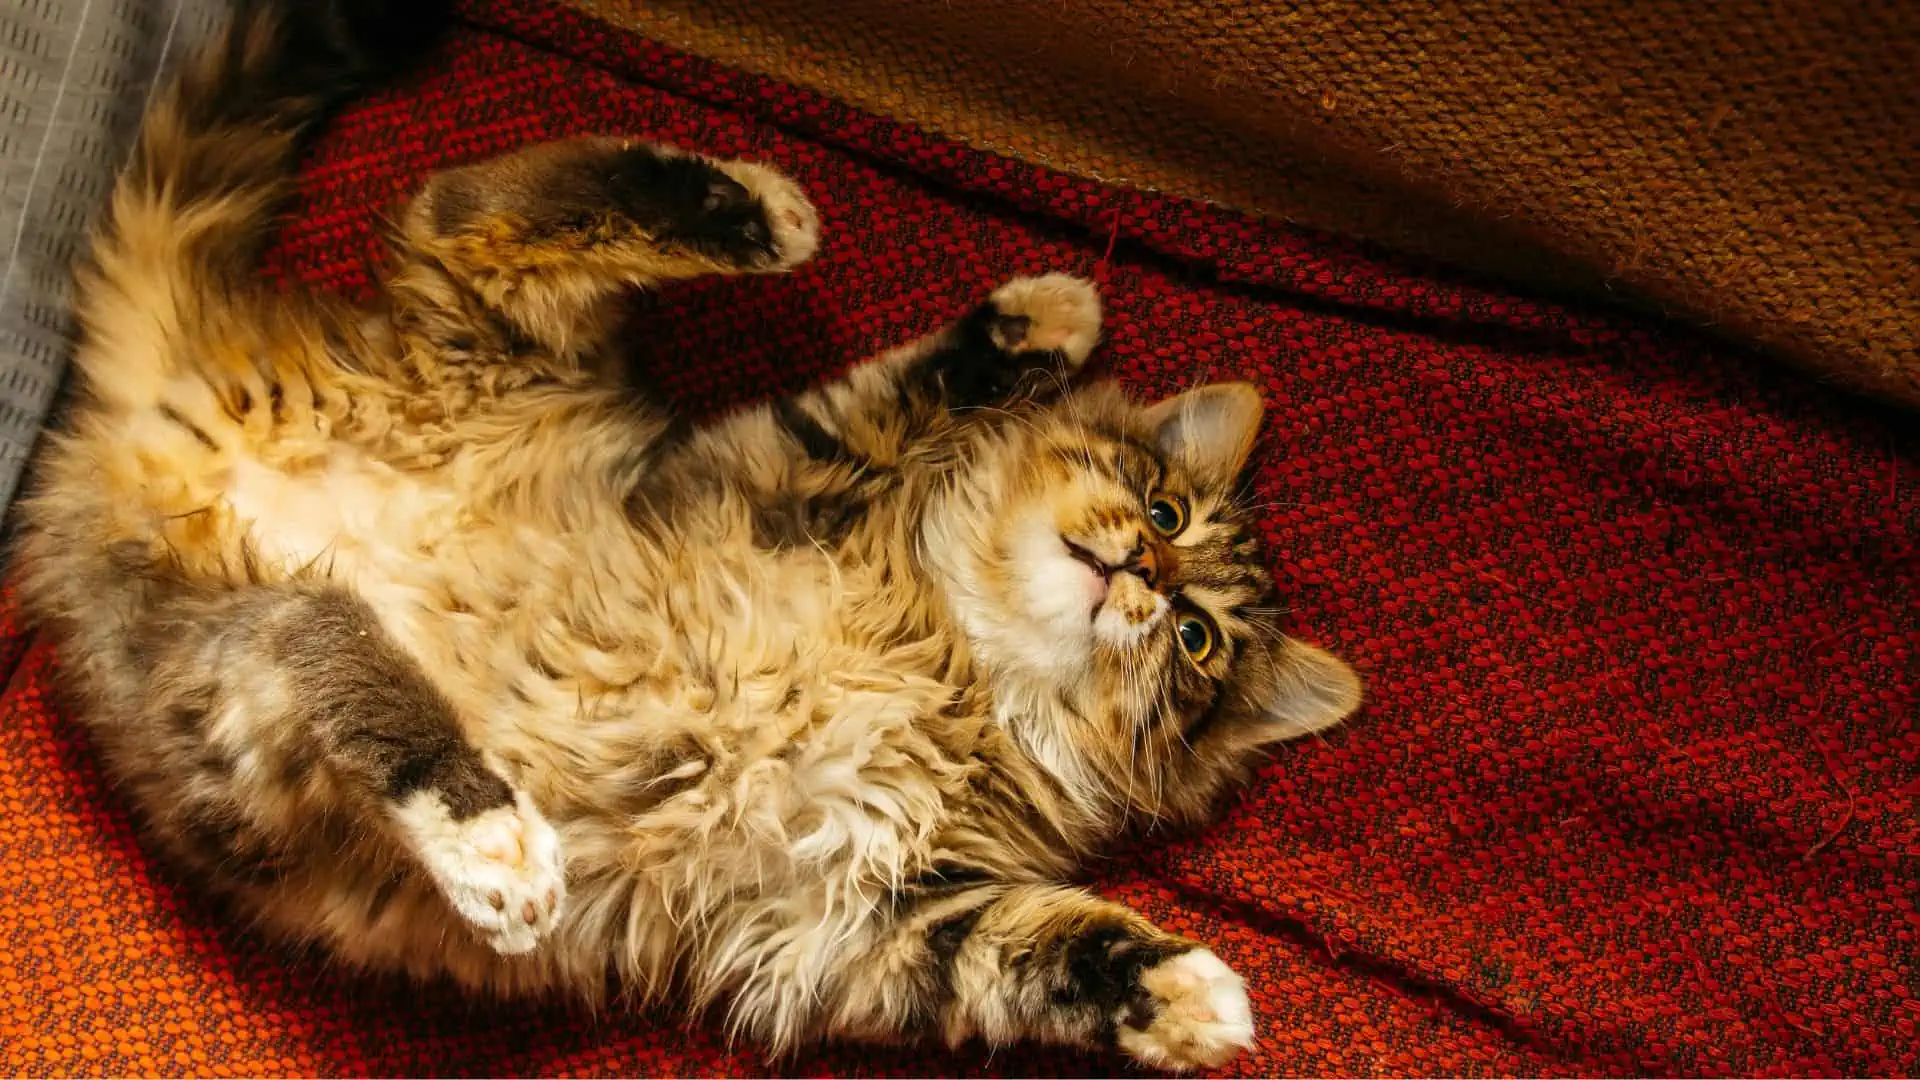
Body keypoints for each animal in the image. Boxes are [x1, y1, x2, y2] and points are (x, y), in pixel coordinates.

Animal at [11, 0, 1367, 1068]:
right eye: (1164, 511)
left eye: (1195, 640)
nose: (1140, 570)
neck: (966, 665)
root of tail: (168, 410)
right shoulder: (774, 467)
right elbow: (911, 388)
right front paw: (1043, 321)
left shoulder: (860, 919)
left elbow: (1035, 948)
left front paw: (1182, 994)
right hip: (478, 370)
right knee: (476, 210)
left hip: (229, 687)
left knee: (320, 619)